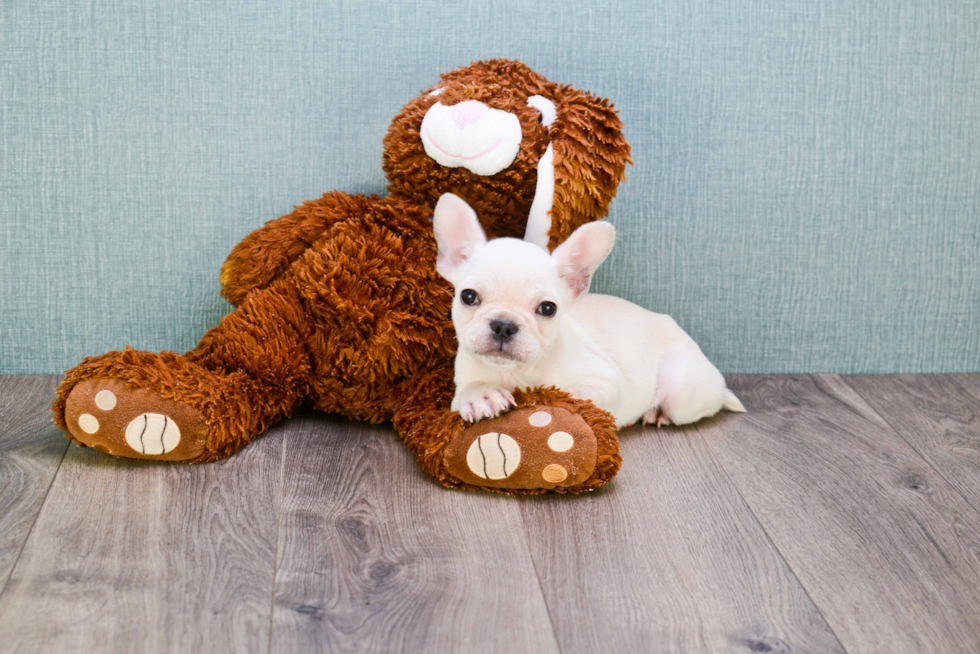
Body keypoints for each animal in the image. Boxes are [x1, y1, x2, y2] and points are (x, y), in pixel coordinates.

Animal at [432, 192, 748, 428]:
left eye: (548, 308)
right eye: (468, 296)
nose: (503, 324)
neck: (517, 372)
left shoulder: (606, 380)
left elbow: (578, 391)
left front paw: (555, 394)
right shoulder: (460, 388)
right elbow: (469, 391)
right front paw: (482, 395)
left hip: (682, 391)